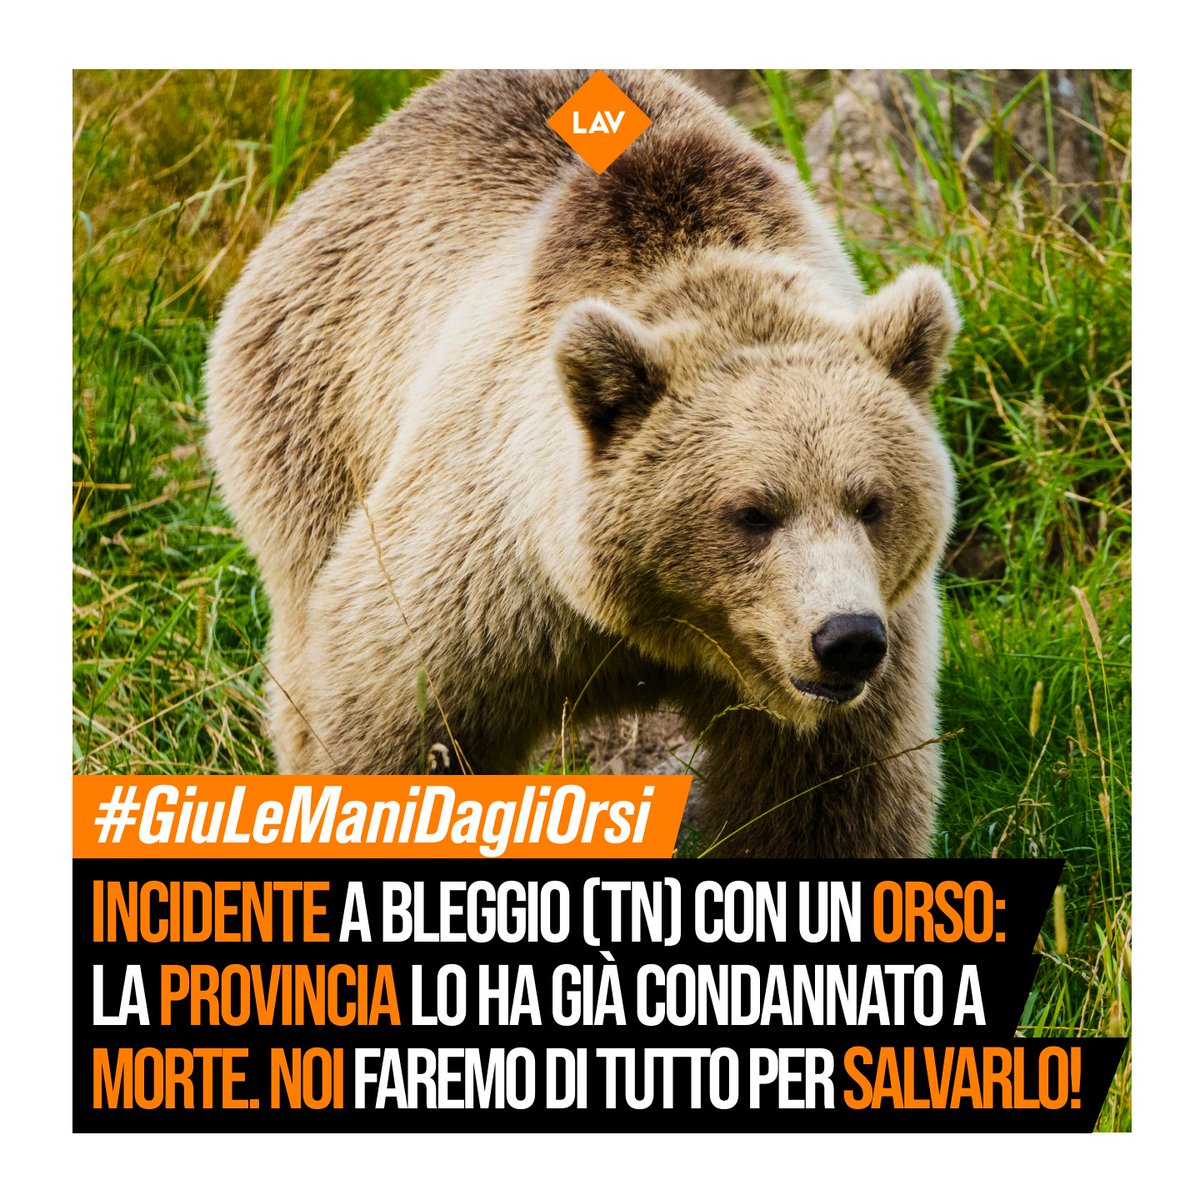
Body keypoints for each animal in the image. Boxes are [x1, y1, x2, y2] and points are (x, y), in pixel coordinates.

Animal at [205, 69, 959, 857]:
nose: (846, 640)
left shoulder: (873, 658)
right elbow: (395, 725)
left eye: (871, 502)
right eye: (753, 511)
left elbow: (827, 804)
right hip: (313, 418)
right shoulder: (485, 590)